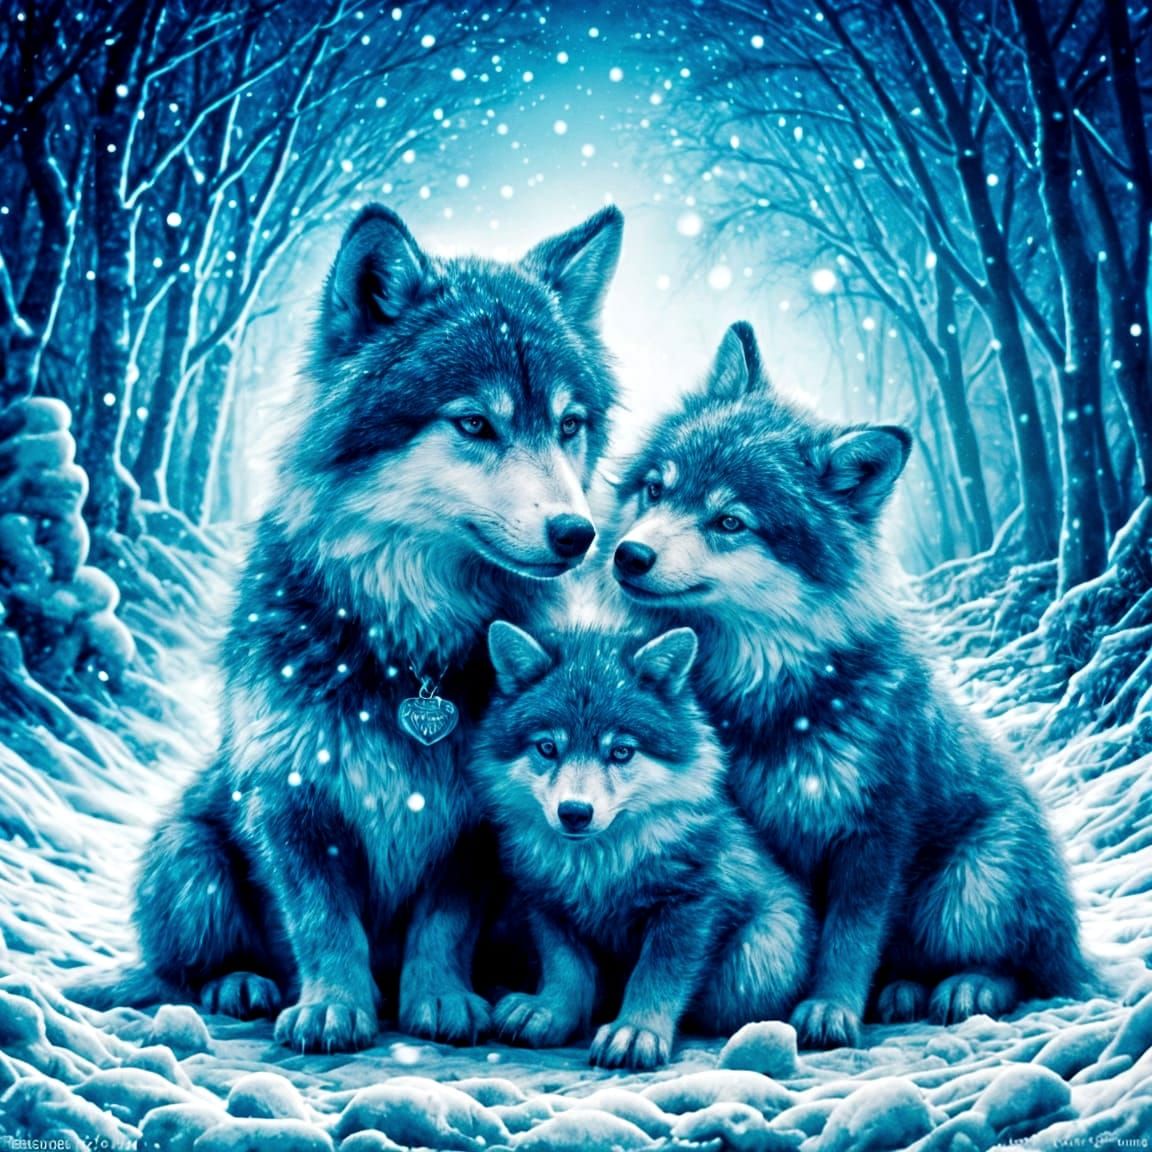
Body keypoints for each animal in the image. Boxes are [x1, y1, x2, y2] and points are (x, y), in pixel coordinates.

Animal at [66, 202, 624, 1053]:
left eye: (568, 426)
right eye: (474, 424)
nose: (578, 534)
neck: (411, 649)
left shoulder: (477, 820)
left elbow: (443, 921)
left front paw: (439, 999)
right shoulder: (290, 797)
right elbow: (322, 921)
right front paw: (333, 1006)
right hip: (189, 851)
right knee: (185, 968)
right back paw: (242, 984)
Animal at [467, 620, 814, 1070]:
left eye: (620, 752)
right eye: (547, 748)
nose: (574, 812)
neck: (597, 866)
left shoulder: (690, 902)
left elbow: (655, 975)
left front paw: (636, 1031)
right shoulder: (544, 902)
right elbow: (566, 968)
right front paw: (552, 1010)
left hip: (759, 958)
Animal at [610, 321, 1091, 1050]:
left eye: (729, 522)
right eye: (657, 491)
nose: (628, 555)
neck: (764, 692)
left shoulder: (877, 831)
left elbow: (849, 934)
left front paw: (830, 1009)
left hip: (972, 881)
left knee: (1025, 970)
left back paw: (967, 987)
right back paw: (902, 991)